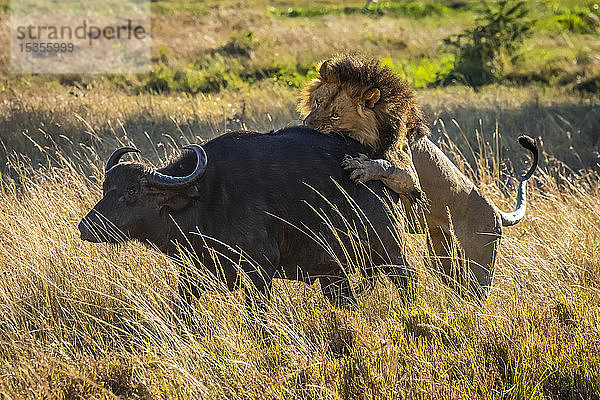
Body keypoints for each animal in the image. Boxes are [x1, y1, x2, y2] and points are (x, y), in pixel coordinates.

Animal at [78, 126, 408, 308]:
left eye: (132, 190)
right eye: (106, 187)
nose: (85, 227)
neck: (205, 199)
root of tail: (378, 172)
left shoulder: (260, 271)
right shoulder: (192, 273)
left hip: (389, 253)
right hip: (332, 274)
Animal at [300, 53, 540, 296]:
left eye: (335, 115)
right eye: (317, 102)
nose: (306, 125)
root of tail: (495, 210)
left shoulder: (411, 177)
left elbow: (387, 166)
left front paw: (362, 167)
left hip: (480, 259)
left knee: (477, 290)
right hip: (439, 251)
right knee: (456, 284)